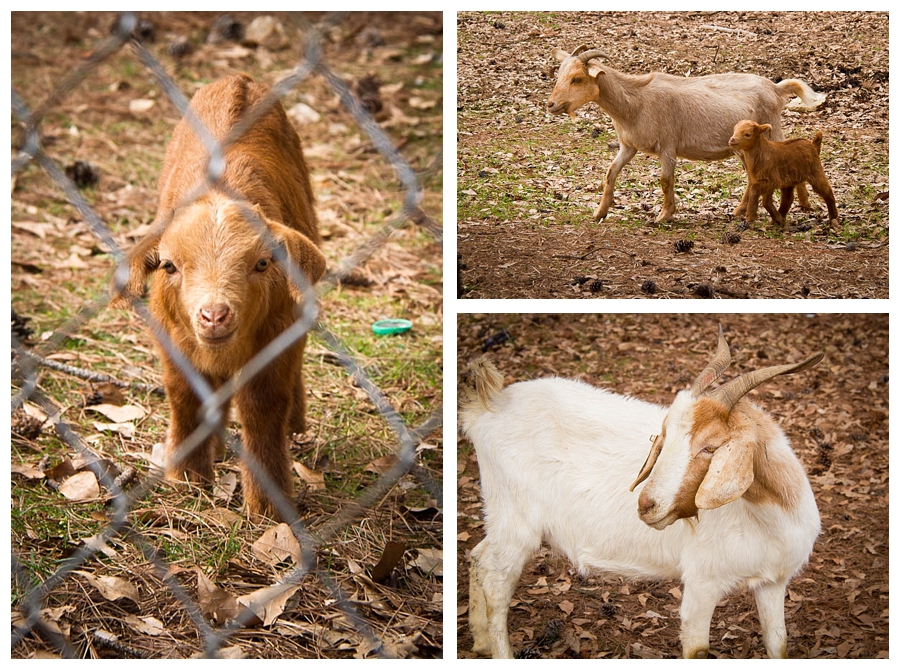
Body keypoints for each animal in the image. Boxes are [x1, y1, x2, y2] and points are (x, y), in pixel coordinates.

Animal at [464, 328, 824, 660]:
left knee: (480, 555)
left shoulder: (772, 584)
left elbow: (778, 645)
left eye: (710, 447)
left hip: (502, 516)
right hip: (515, 521)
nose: (647, 505)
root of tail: (490, 405)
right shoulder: (702, 583)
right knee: (496, 582)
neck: (770, 519)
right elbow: (698, 650)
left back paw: (479, 641)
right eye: (664, 437)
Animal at [544, 47, 828, 226]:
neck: (636, 102)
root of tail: (776, 88)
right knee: (753, 176)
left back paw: (802, 204)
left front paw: (664, 215)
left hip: (771, 131)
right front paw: (599, 212)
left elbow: (665, 180)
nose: (551, 105)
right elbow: (610, 173)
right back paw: (741, 211)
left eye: (577, 79)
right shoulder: (628, 146)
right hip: (746, 146)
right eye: (560, 75)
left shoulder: (668, 146)